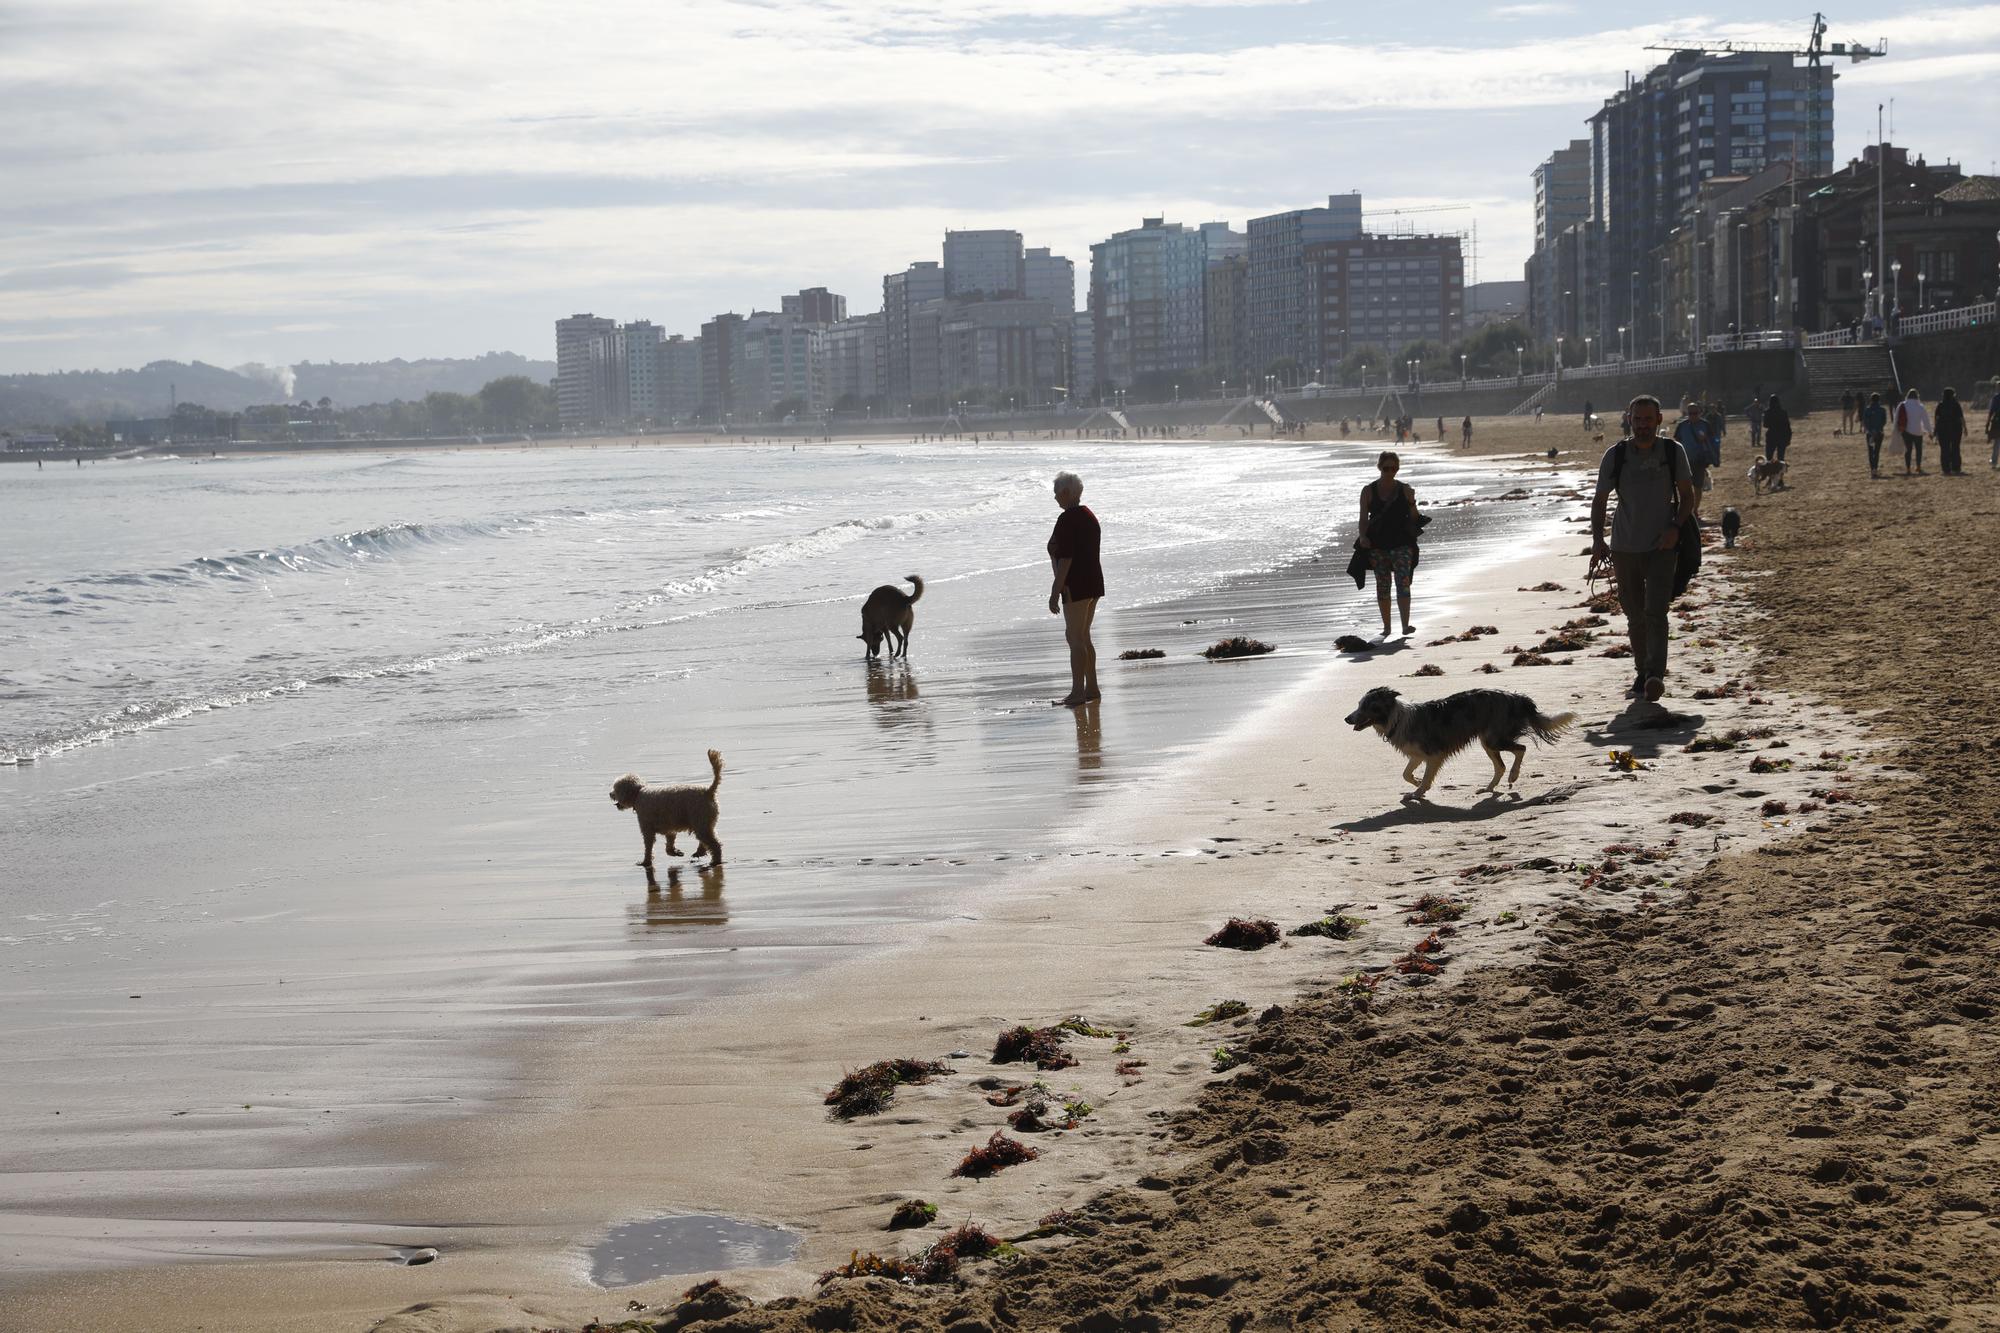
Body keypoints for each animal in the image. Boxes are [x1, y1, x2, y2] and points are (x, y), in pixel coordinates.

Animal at [1344, 684, 1576, 800]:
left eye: (1366, 706)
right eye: (1358, 705)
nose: (1347, 719)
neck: (1395, 718)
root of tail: (1518, 698)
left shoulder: (1433, 755)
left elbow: (1425, 777)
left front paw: (1419, 791)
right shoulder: (1417, 754)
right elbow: (1406, 774)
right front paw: (1417, 785)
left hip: (1493, 739)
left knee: (1521, 749)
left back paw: (1514, 775)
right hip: (1488, 742)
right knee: (1500, 766)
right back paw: (1488, 788)